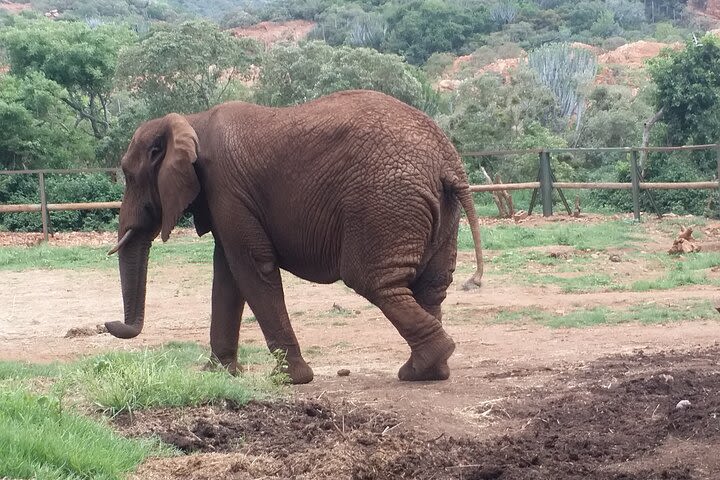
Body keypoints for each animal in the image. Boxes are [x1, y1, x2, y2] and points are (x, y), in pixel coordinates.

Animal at [105, 89, 484, 382]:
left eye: (129, 175)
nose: (109, 323)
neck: (191, 120)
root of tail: (448, 161)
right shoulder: (226, 197)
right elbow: (227, 273)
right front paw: (218, 375)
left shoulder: (226, 188)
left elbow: (251, 267)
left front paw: (290, 379)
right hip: (438, 210)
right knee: (431, 286)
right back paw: (427, 371)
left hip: (383, 202)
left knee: (374, 282)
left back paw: (422, 366)